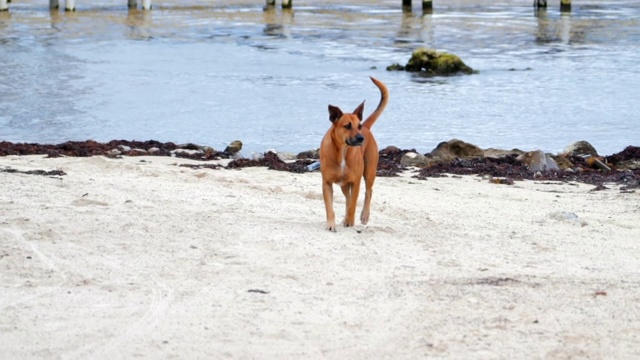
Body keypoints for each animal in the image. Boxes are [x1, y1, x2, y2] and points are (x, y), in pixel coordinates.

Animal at [318, 77, 388, 232]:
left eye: (358, 126)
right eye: (347, 126)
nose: (361, 139)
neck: (343, 151)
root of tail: (367, 128)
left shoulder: (356, 181)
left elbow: (353, 203)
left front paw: (350, 221)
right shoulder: (327, 183)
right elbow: (330, 207)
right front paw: (331, 224)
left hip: (369, 171)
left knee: (368, 192)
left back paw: (363, 216)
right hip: (344, 184)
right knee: (348, 198)